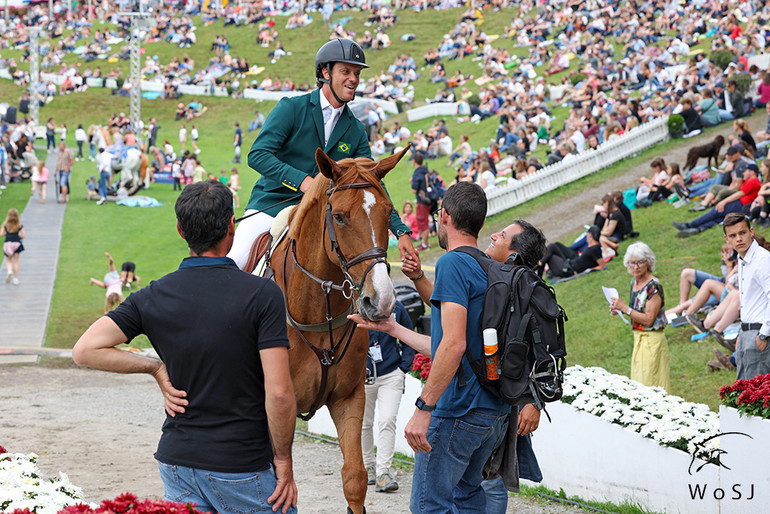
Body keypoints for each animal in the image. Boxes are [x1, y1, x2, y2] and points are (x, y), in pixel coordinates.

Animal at [268, 145, 408, 512]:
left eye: (388, 213)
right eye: (341, 217)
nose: (381, 300)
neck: (317, 313)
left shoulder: (348, 397)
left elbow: (355, 478)